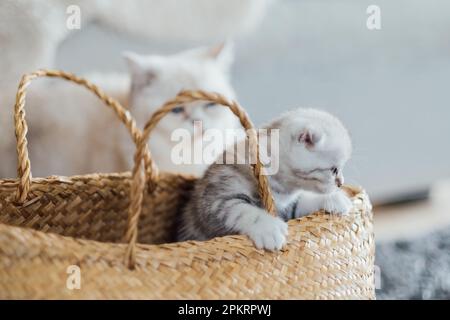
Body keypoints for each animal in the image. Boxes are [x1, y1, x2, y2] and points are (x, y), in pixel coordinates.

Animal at [178, 109, 354, 251]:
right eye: (334, 170)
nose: (341, 183)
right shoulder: (215, 200)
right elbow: (242, 211)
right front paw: (268, 228)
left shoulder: (287, 209)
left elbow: (303, 202)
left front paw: (335, 198)